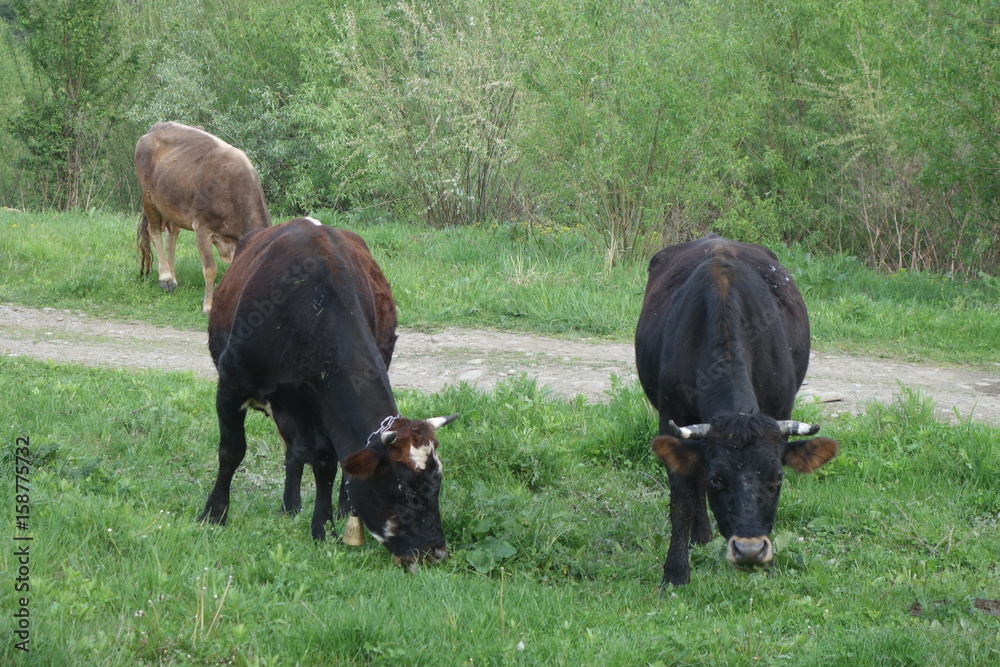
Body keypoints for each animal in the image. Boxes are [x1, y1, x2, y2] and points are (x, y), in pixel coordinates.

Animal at [137, 122, 272, 314]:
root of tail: (158, 126)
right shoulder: (202, 228)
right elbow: (210, 269)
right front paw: (208, 305)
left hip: (173, 204)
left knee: (172, 234)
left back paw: (173, 278)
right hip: (148, 198)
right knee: (154, 231)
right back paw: (166, 278)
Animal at [199, 219, 458, 568]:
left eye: (438, 484)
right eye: (404, 489)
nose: (438, 552)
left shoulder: (322, 411)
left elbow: (327, 465)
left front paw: (323, 528)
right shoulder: (230, 387)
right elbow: (231, 451)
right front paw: (214, 514)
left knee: (299, 454)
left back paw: (326, 507)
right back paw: (289, 507)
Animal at [636, 234, 840, 584]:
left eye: (777, 478)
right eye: (718, 480)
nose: (749, 550)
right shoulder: (671, 418)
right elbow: (682, 500)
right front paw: (675, 571)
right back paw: (701, 535)